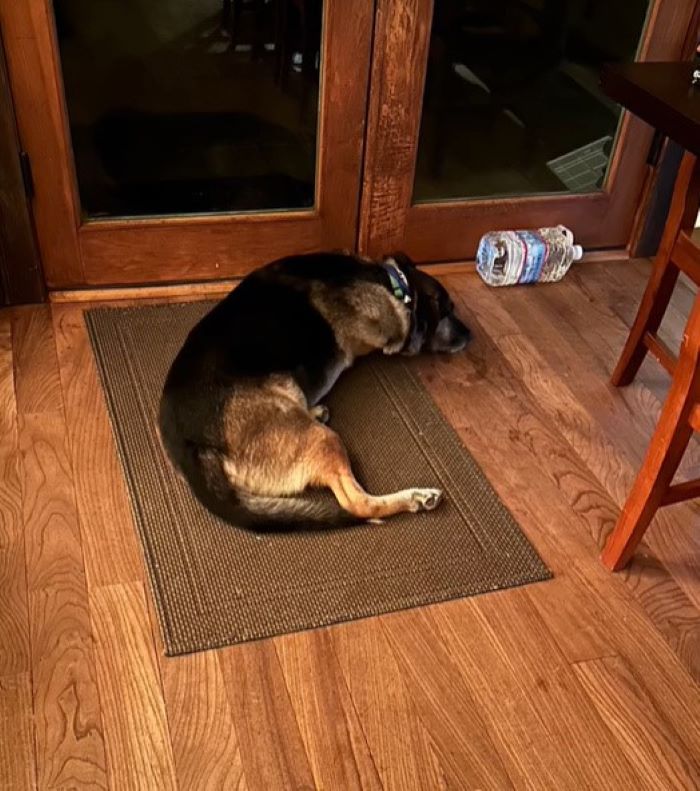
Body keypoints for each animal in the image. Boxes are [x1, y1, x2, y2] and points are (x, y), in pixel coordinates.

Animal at [160, 251, 470, 528]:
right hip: (322, 439)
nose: (471, 335)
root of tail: (191, 447)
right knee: (357, 503)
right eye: (448, 310)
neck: (390, 281)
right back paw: (416, 498)